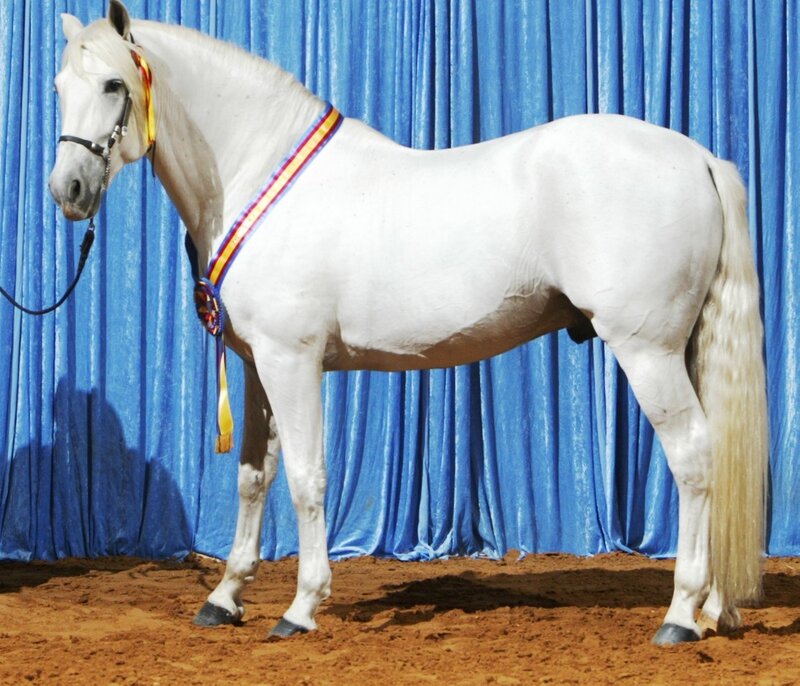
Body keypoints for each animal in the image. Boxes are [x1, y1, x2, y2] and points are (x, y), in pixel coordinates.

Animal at [48, 1, 768, 645]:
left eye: (114, 84)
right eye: (58, 87)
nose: (67, 191)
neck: (259, 176)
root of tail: (700, 158)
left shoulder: (292, 360)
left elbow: (308, 477)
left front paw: (301, 607)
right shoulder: (256, 366)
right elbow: (255, 477)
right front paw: (224, 598)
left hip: (647, 350)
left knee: (694, 457)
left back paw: (680, 616)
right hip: (684, 347)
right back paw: (714, 611)